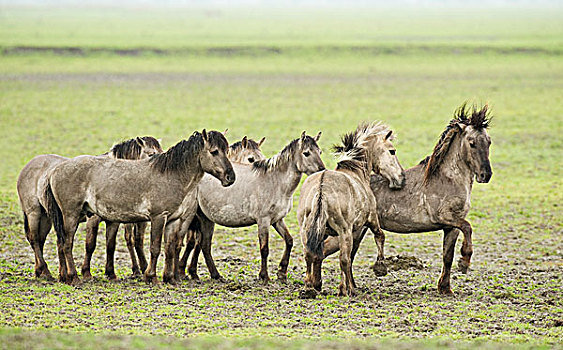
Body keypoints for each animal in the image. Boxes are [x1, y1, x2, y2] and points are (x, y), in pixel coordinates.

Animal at [16, 135, 162, 280]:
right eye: (151, 154)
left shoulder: (114, 221)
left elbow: (111, 245)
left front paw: (111, 273)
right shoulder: (93, 219)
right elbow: (90, 244)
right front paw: (86, 272)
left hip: (47, 218)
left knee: (44, 241)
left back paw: (46, 272)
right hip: (34, 213)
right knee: (35, 239)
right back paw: (46, 271)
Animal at [44, 131, 236, 284]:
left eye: (226, 151)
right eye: (214, 151)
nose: (230, 177)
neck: (171, 175)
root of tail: (56, 170)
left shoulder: (173, 220)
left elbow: (170, 248)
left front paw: (170, 278)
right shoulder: (158, 217)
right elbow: (155, 247)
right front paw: (151, 277)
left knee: (62, 243)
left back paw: (65, 276)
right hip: (71, 215)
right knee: (67, 244)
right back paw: (73, 276)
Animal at [300, 121, 406, 296]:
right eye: (392, 151)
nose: (401, 178)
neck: (355, 171)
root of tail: (322, 187)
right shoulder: (371, 220)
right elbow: (380, 236)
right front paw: (380, 268)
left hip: (307, 230)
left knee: (310, 254)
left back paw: (309, 288)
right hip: (344, 232)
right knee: (344, 259)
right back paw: (347, 290)